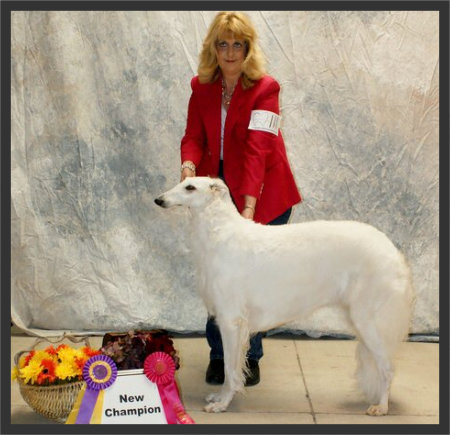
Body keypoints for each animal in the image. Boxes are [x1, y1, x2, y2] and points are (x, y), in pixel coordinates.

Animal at [154, 176, 414, 415]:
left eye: (190, 187)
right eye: (182, 182)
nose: (158, 200)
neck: (220, 232)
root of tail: (393, 251)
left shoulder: (231, 321)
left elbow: (229, 368)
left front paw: (222, 403)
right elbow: (232, 367)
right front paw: (219, 397)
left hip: (369, 321)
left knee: (388, 369)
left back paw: (381, 407)